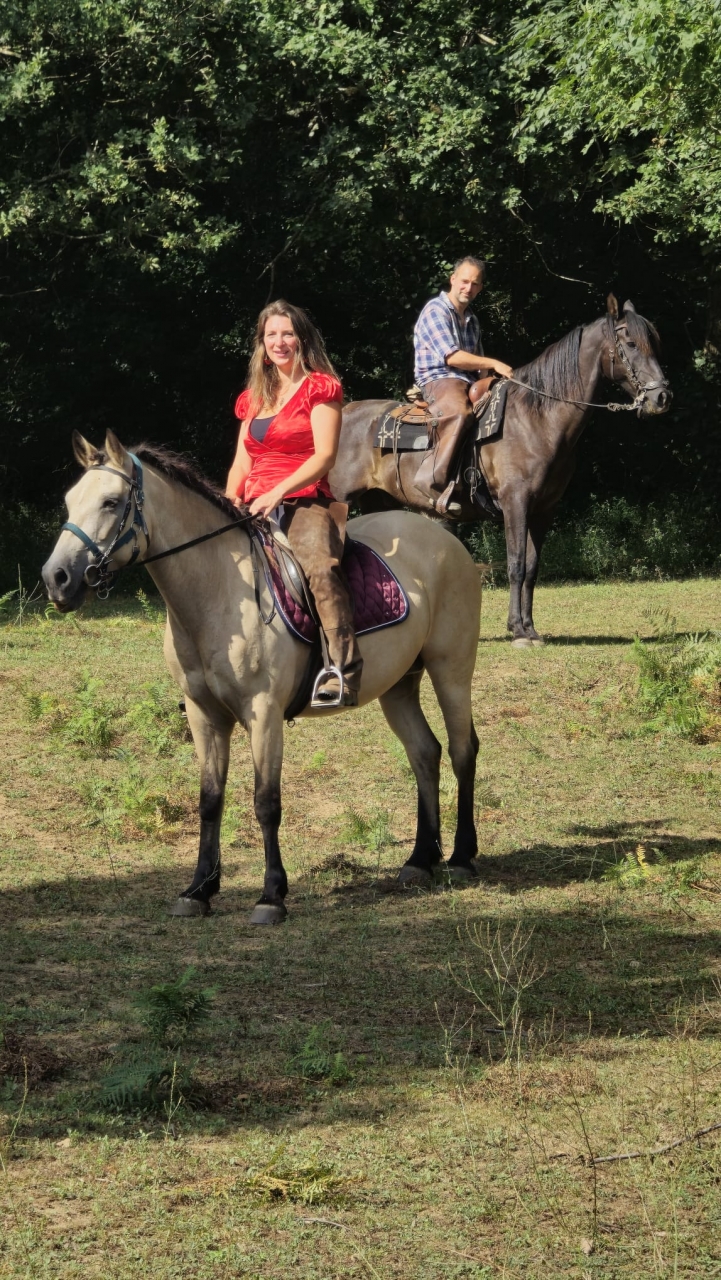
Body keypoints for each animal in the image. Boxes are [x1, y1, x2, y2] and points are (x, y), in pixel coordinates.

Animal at [42, 431, 483, 923]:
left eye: (111, 502)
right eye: (69, 501)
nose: (56, 578)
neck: (216, 590)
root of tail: (441, 537)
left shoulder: (264, 714)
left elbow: (266, 802)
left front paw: (272, 895)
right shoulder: (204, 715)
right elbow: (210, 800)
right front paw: (199, 889)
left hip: (451, 670)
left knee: (462, 751)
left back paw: (461, 858)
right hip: (399, 686)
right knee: (425, 753)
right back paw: (420, 861)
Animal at [330, 295, 672, 647]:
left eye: (654, 343)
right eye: (630, 343)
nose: (662, 397)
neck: (538, 418)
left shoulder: (544, 509)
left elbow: (532, 567)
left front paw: (530, 629)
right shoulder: (515, 502)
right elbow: (516, 564)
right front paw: (519, 632)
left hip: (375, 502)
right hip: (340, 500)